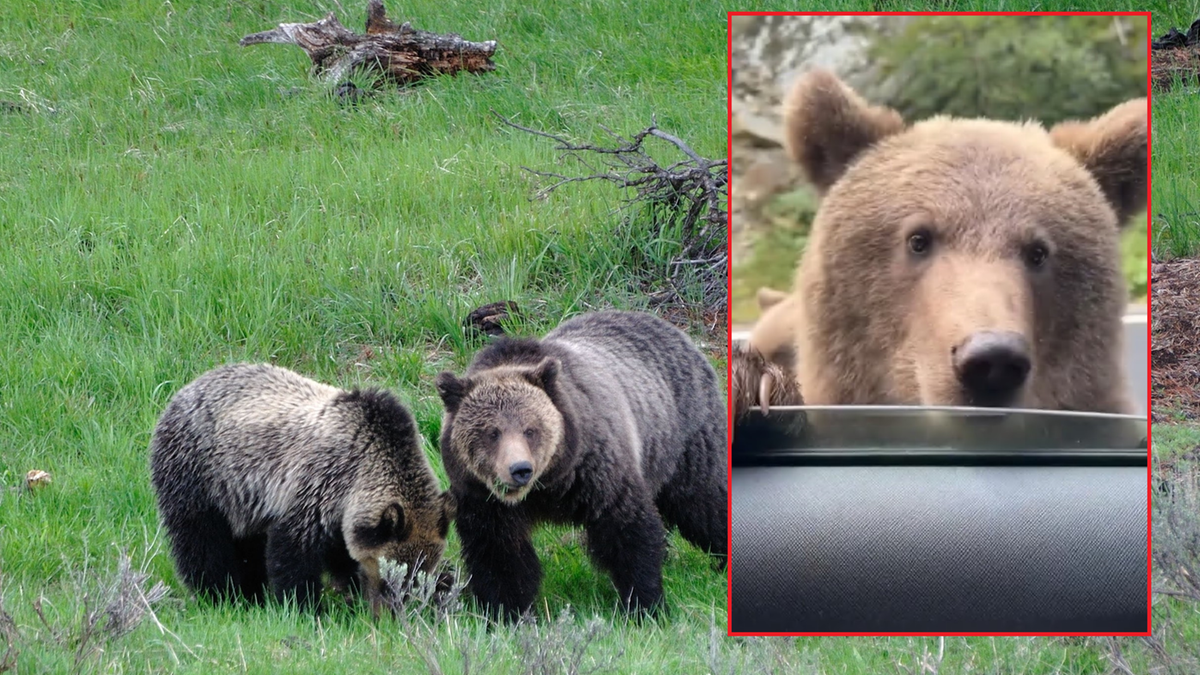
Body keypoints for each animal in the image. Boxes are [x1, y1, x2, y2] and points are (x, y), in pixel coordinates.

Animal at [146, 362, 453, 614]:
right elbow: (293, 555)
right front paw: (305, 607)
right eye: (392, 577)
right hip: (199, 476)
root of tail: (184, 389)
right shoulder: (315, 487)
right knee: (202, 541)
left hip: (243, 500)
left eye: (419, 578)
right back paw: (221, 595)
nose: (391, 613)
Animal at [436, 307, 724, 619]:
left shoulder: (595, 471)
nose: (520, 470)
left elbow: (627, 531)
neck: (547, 487)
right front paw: (508, 611)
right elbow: (500, 554)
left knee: (704, 502)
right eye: (492, 432)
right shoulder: (484, 498)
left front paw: (645, 604)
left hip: (685, 440)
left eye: (530, 429)